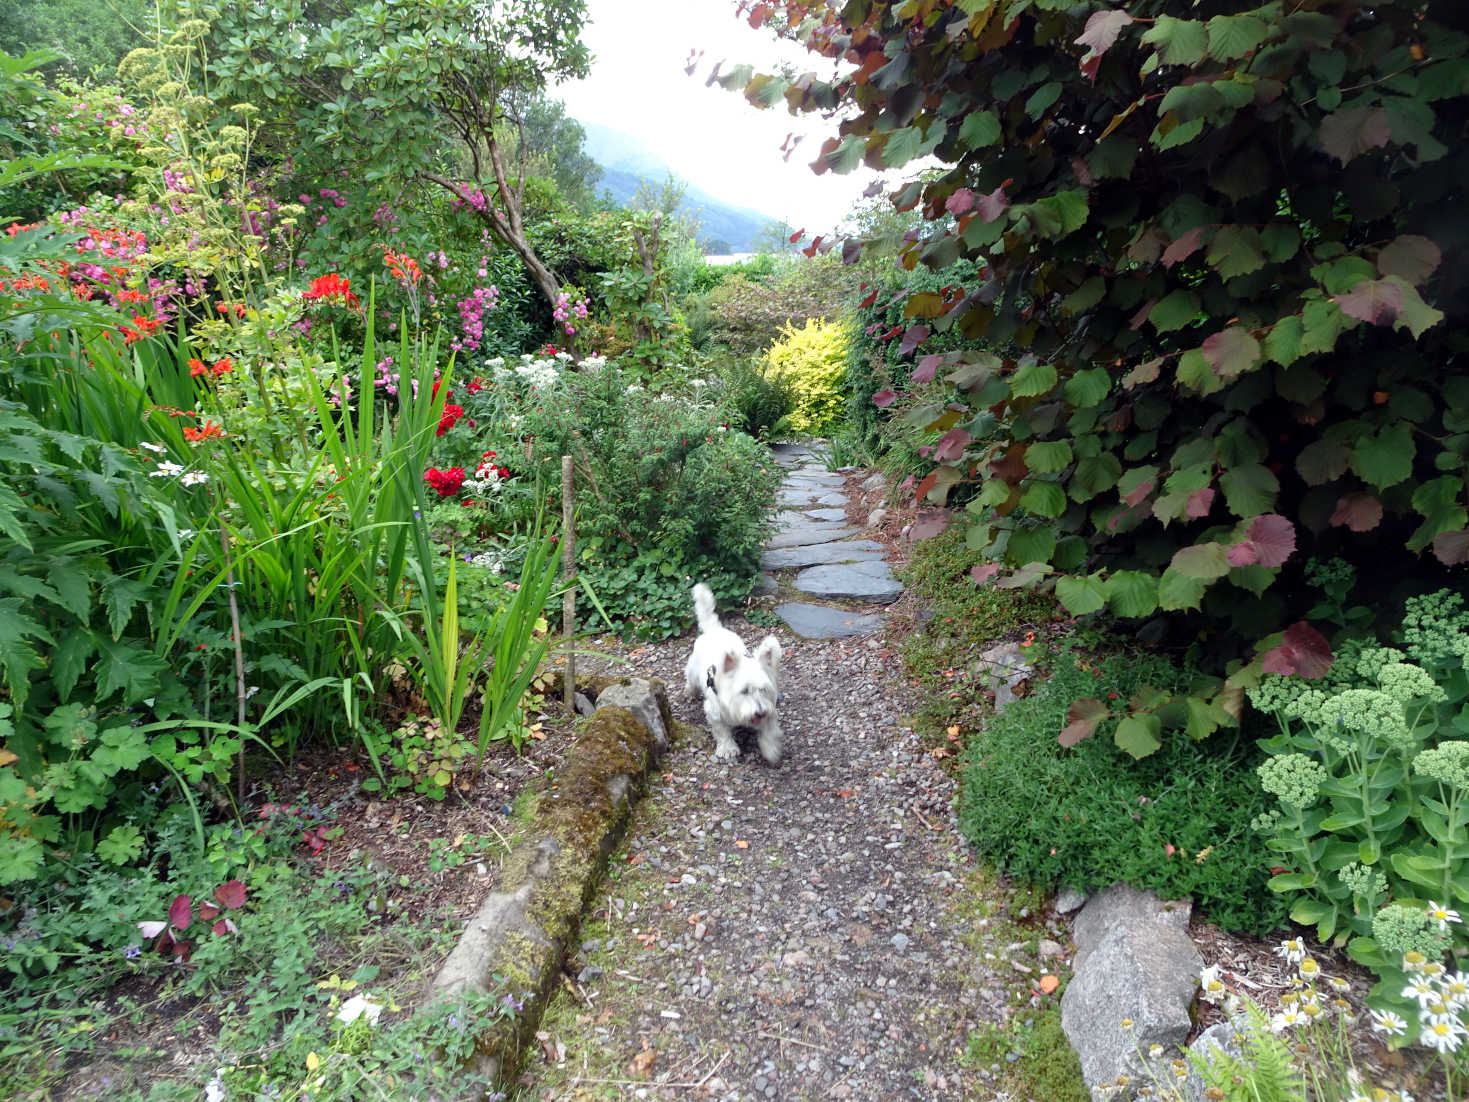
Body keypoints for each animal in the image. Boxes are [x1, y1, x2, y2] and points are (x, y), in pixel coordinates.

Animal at [684, 587, 787, 769]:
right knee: (690, 679)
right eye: (744, 691)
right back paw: (690, 692)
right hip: (692, 672)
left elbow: (769, 731)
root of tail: (713, 629)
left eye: (763, 689)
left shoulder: (769, 710)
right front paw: (728, 749)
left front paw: (771, 750)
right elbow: (721, 731)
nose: (759, 712)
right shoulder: (714, 712)